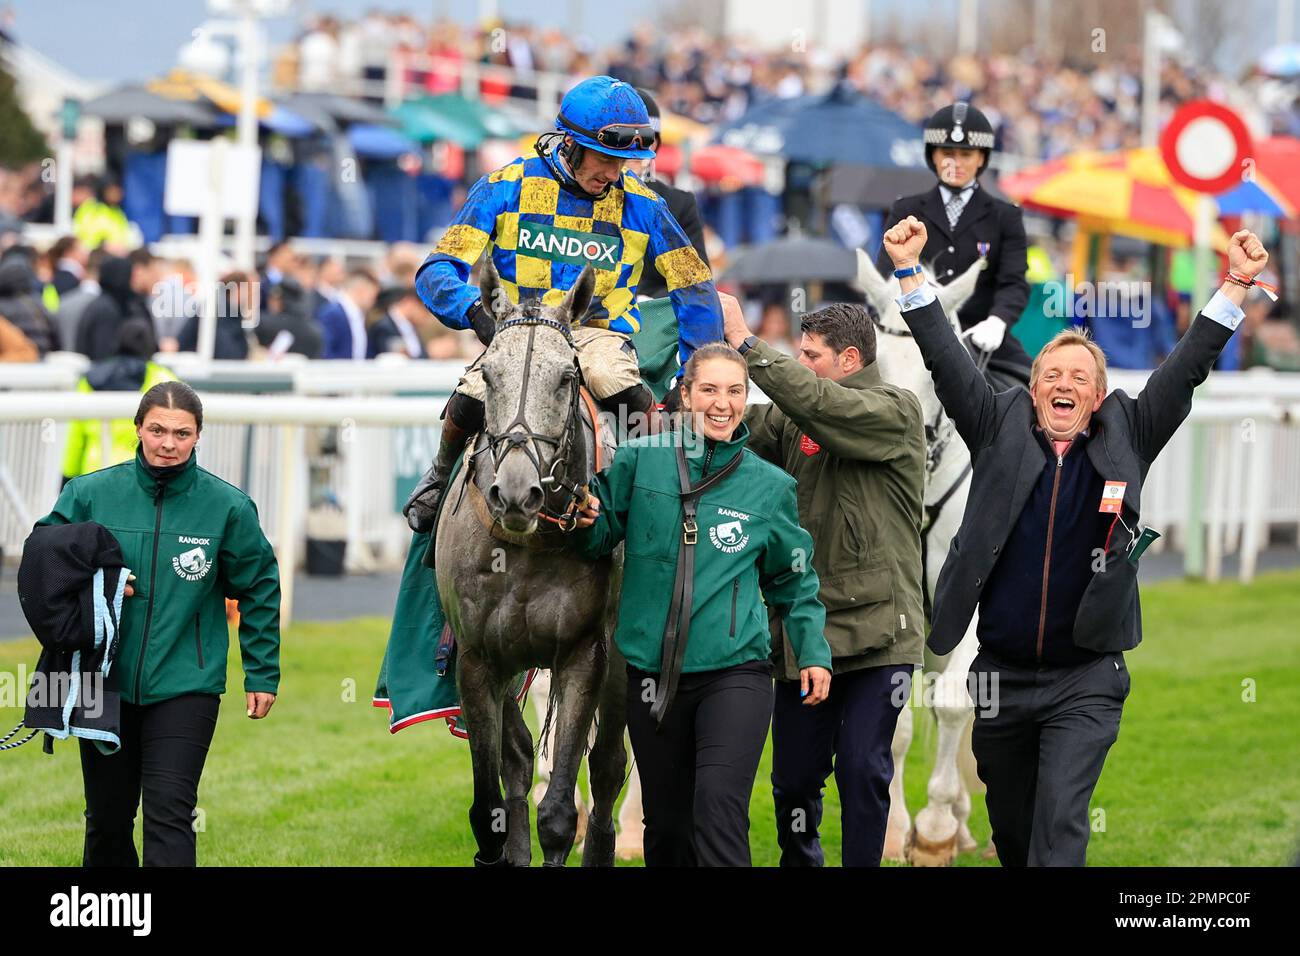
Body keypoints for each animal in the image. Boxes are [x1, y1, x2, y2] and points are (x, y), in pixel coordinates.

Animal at [436, 261, 629, 868]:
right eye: (490, 375)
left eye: (566, 377)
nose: (517, 494)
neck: (528, 546)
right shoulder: (477, 657)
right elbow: (489, 804)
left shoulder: (585, 654)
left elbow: (561, 812)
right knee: (519, 758)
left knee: (608, 767)